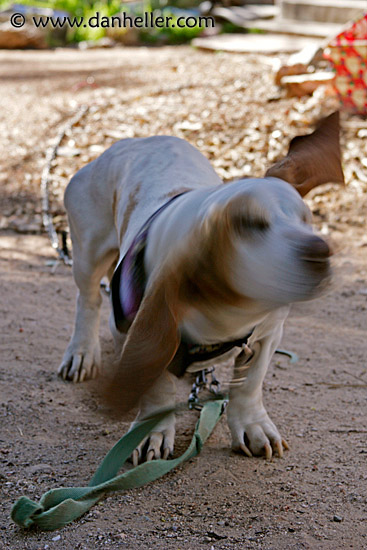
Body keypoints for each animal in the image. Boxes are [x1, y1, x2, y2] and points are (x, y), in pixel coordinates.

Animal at [58, 112, 344, 466]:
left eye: (306, 219)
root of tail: (129, 142)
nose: (320, 251)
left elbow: (249, 386)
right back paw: (82, 353)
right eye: (250, 225)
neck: (227, 309)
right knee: (88, 299)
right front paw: (153, 431)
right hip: (88, 253)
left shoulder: (266, 336)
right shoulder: (137, 332)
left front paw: (253, 426)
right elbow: (156, 390)